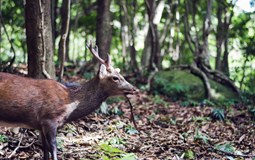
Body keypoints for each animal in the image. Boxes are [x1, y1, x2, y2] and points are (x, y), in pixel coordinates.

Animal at [0, 42, 137, 160]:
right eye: (115, 78)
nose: (133, 89)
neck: (69, 103)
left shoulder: (40, 125)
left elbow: (45, 150)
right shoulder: (48, 119)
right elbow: (53, 148)